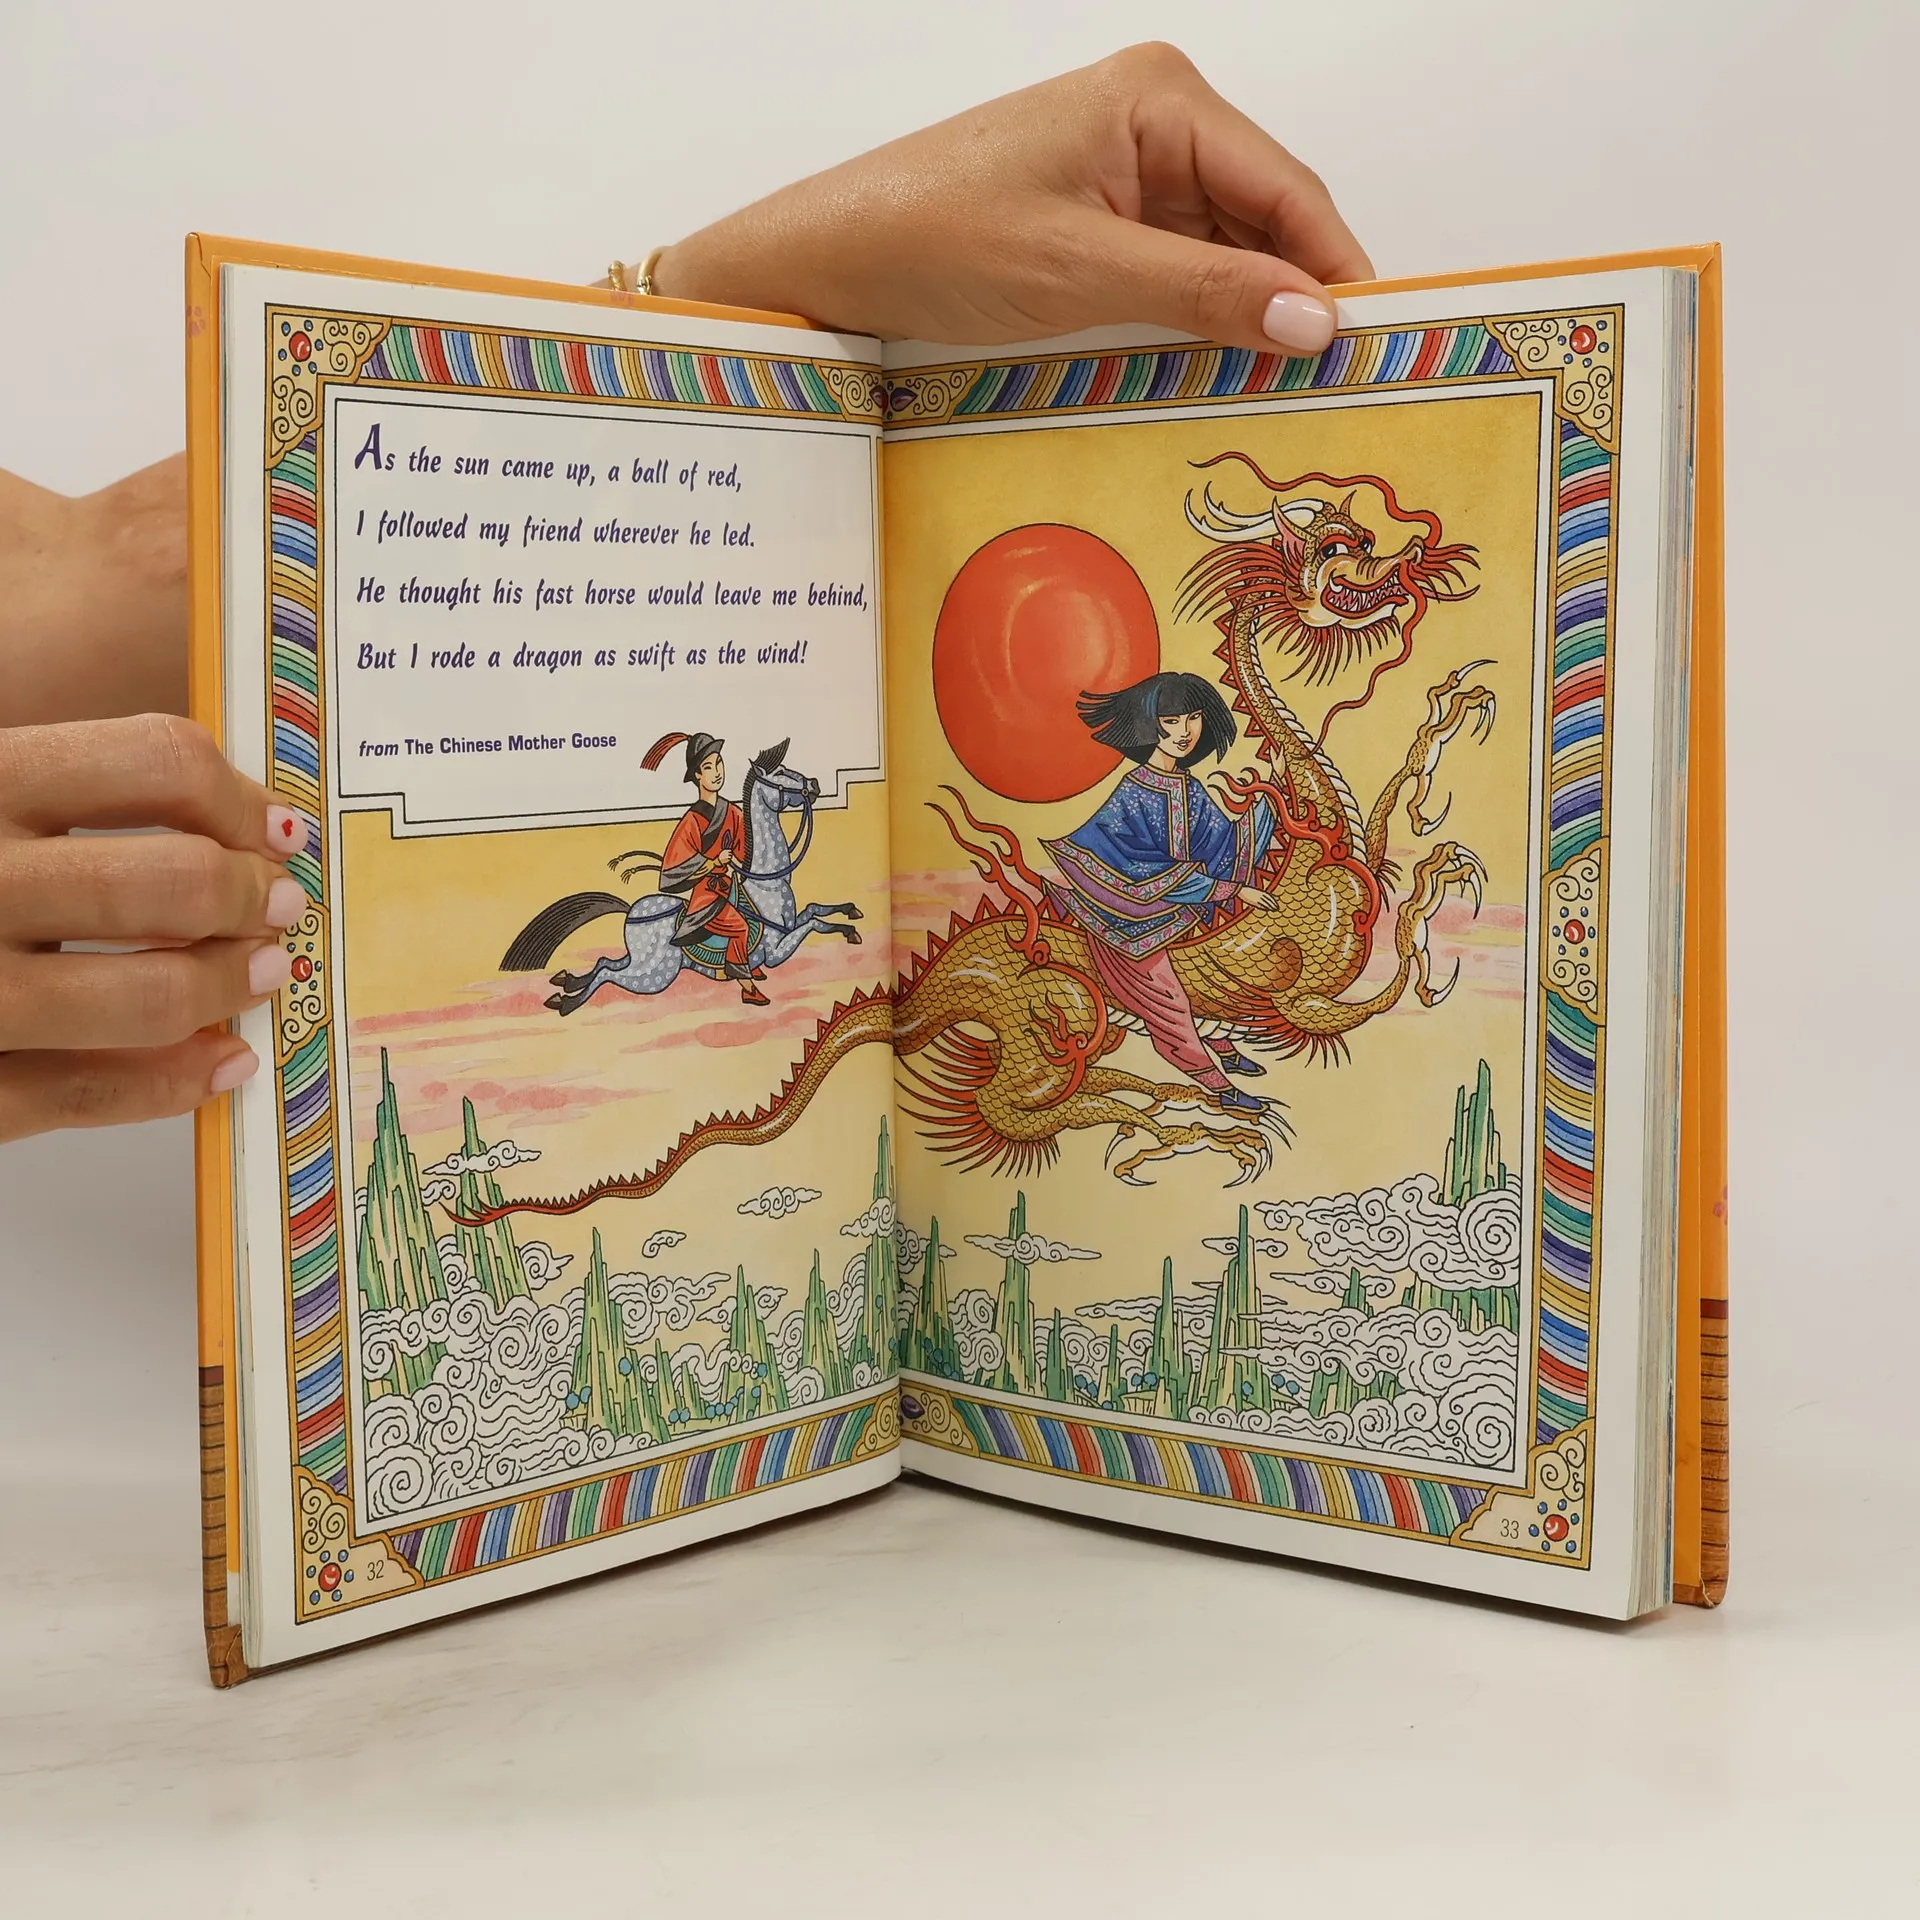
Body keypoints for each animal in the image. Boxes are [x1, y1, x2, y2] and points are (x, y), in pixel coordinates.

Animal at [498, 740, 863, 1015]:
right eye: (781, 773)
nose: (814, 785)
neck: (767, 883)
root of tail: (633, 912)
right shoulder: (776, 949)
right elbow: (814, 923)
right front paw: (850, 932)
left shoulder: (790, 924)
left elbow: (815, 909)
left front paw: (852, 912)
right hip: (654, 974)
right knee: (606, 976)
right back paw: (565, 1003)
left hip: (640, 962)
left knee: (604, 963)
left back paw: (566, 984)